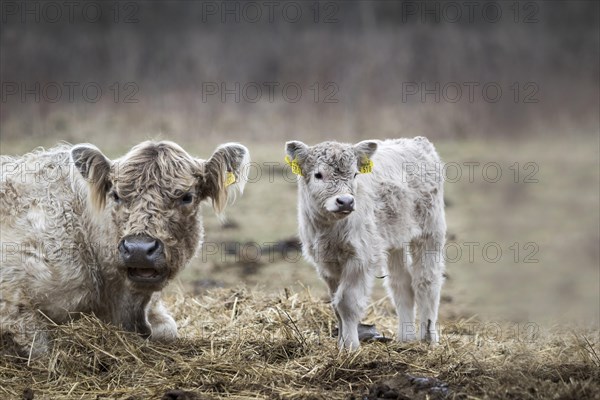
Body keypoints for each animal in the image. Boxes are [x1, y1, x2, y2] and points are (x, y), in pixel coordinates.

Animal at [0, 141, 248, 356]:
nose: (139, 248)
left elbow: (168, 330)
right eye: (116, 195)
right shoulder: (13, 306)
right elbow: (45, 351)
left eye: (187, 197)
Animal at [286, 138, 446, 350]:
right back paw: (406, 338)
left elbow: (347, 302)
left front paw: (351, 346)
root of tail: (417, 141)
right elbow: (336, 304)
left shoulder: (360, 257)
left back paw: (428, 339)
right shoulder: (326, 263)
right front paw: (340, 344)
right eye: (318, 175)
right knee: (401, 285)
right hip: (395, 240)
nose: (345, 201)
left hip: (431, 231)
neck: (330, 230)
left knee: (427, 282)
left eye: (355, 174)